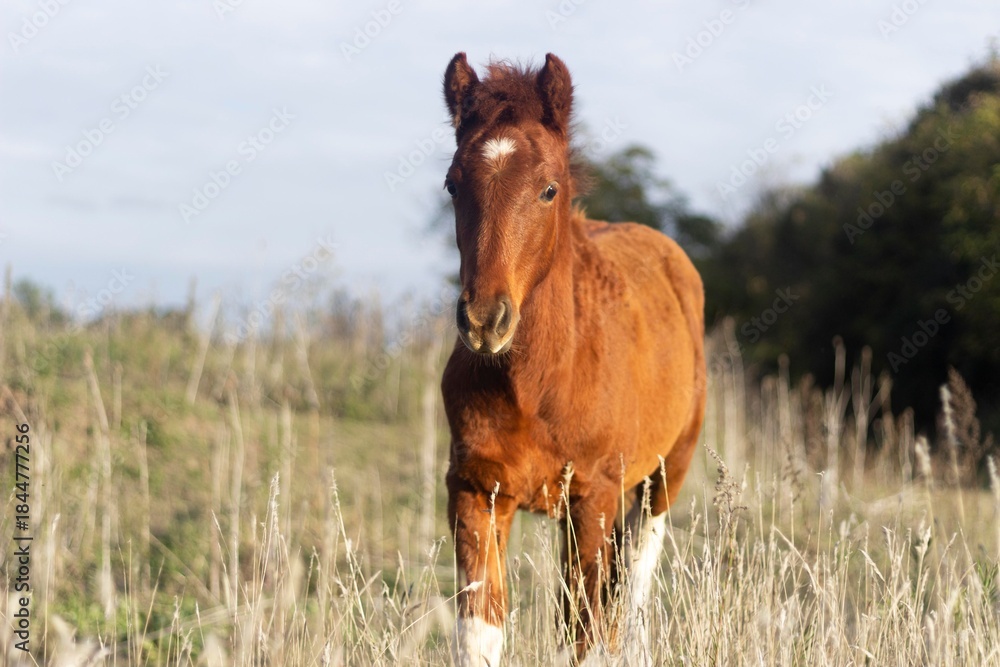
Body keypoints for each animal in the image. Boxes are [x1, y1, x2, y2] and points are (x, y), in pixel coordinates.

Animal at [440, 52, 706, 665]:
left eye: (548, 189)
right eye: (452, 185)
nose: (484, 320)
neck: (539, 381)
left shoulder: (596, 499)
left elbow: (584, 637)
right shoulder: (475, 490)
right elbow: (480, 630)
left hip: (661, 480)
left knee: (632, 592)